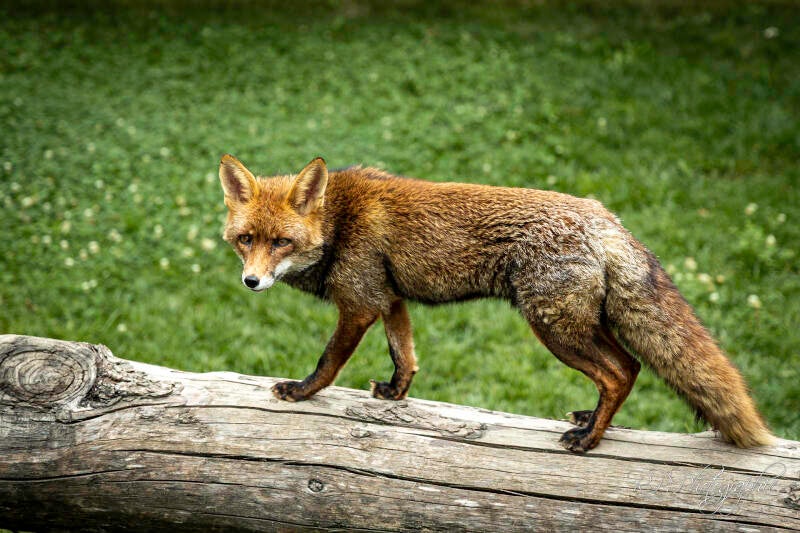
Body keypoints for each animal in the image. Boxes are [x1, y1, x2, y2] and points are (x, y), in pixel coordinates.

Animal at [218, 154, 774, 453]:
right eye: (246, 240)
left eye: (281, 243)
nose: (251, 282)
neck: (338, 222)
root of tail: (605, 218)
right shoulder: (389, 298)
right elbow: (406, 354)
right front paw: (396, 393)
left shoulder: (358, 304)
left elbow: (328, 362)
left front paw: (300, 392)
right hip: (580, 324)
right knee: (632, 368)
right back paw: (593, 421)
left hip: (553, 327)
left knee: (620, 371)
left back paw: (589, 439)